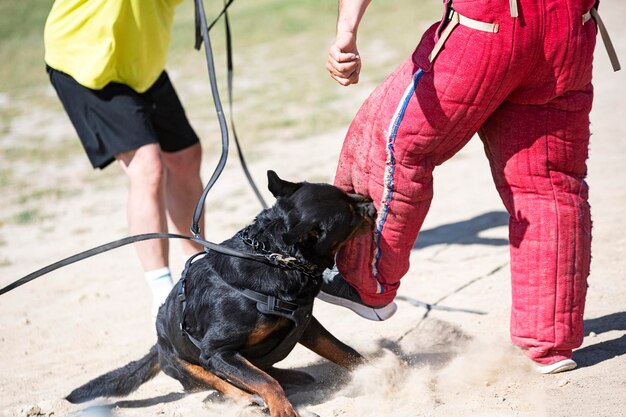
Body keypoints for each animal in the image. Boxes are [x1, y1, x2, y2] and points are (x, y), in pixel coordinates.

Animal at [66, 170, 372, 416]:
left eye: (348, 195)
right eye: (350, 216)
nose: (370, 203)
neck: (273, 257)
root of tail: (157, 345)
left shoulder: (305, 324)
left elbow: (343, 351)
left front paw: (377, 369)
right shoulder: (217, 352)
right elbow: (264, 382)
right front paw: (282, 409)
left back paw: (292, 376)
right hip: (183, 362)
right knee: (218, 384)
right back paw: (248, 398)